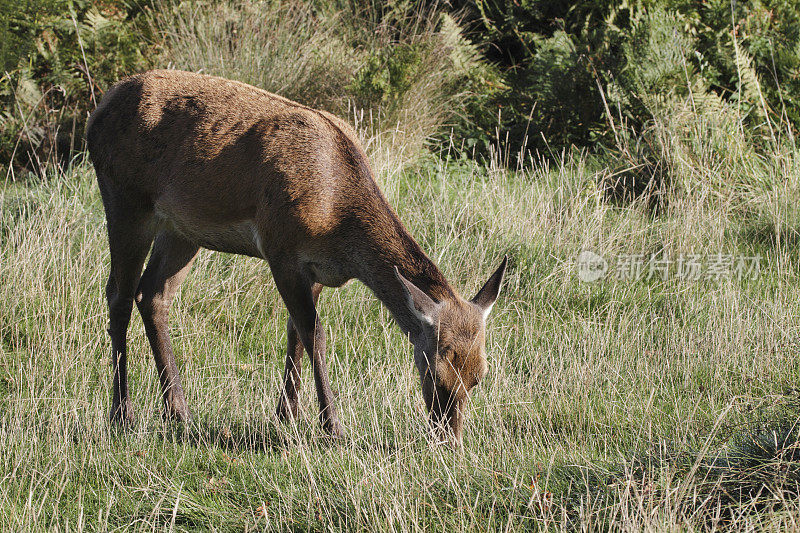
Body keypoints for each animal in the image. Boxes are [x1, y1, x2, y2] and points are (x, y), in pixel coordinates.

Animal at [86, 70, 506, 444]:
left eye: (480, 376)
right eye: (433, 371)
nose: (449, 439)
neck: (335, 219)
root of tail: (99, 109)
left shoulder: (317, 269)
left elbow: (296, 330)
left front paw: (286, 413)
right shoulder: (281, 249)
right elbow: (315, 332)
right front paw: (331, 425)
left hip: (181, 229)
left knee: (153, 294)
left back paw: (178, 411)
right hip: (125, 199)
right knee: (119, 294)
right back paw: (122, 413)